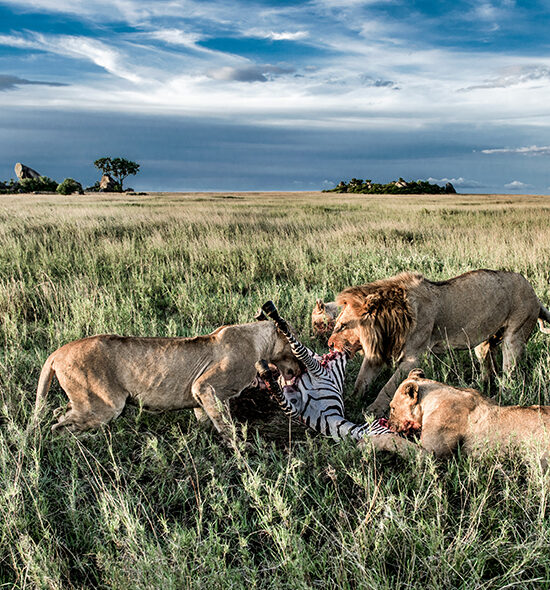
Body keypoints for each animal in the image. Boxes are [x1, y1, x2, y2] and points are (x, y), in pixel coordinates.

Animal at [33, 322, 302, 442]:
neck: (258, 340)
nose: (299, 369)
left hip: (85, 402)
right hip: (104, 406)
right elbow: (226, 425)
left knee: (58, 412)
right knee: (58, 427)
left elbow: (207, 419)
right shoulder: (205, 386)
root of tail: (57, 353)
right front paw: (239, 452)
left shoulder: (200, 396)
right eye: (294, 345)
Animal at [328, 272, 550, 416]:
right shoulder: (378, 353)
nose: (329, 345)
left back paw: (504, 397)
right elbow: (361, 380)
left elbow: (388, 387)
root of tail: (535, 294)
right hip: (485, 342)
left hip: (515, 336)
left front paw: (372, 411)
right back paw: (479, 385)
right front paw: (350, 401)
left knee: (509, 374)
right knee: (488, 365)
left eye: (343, 325)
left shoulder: (412, 357)